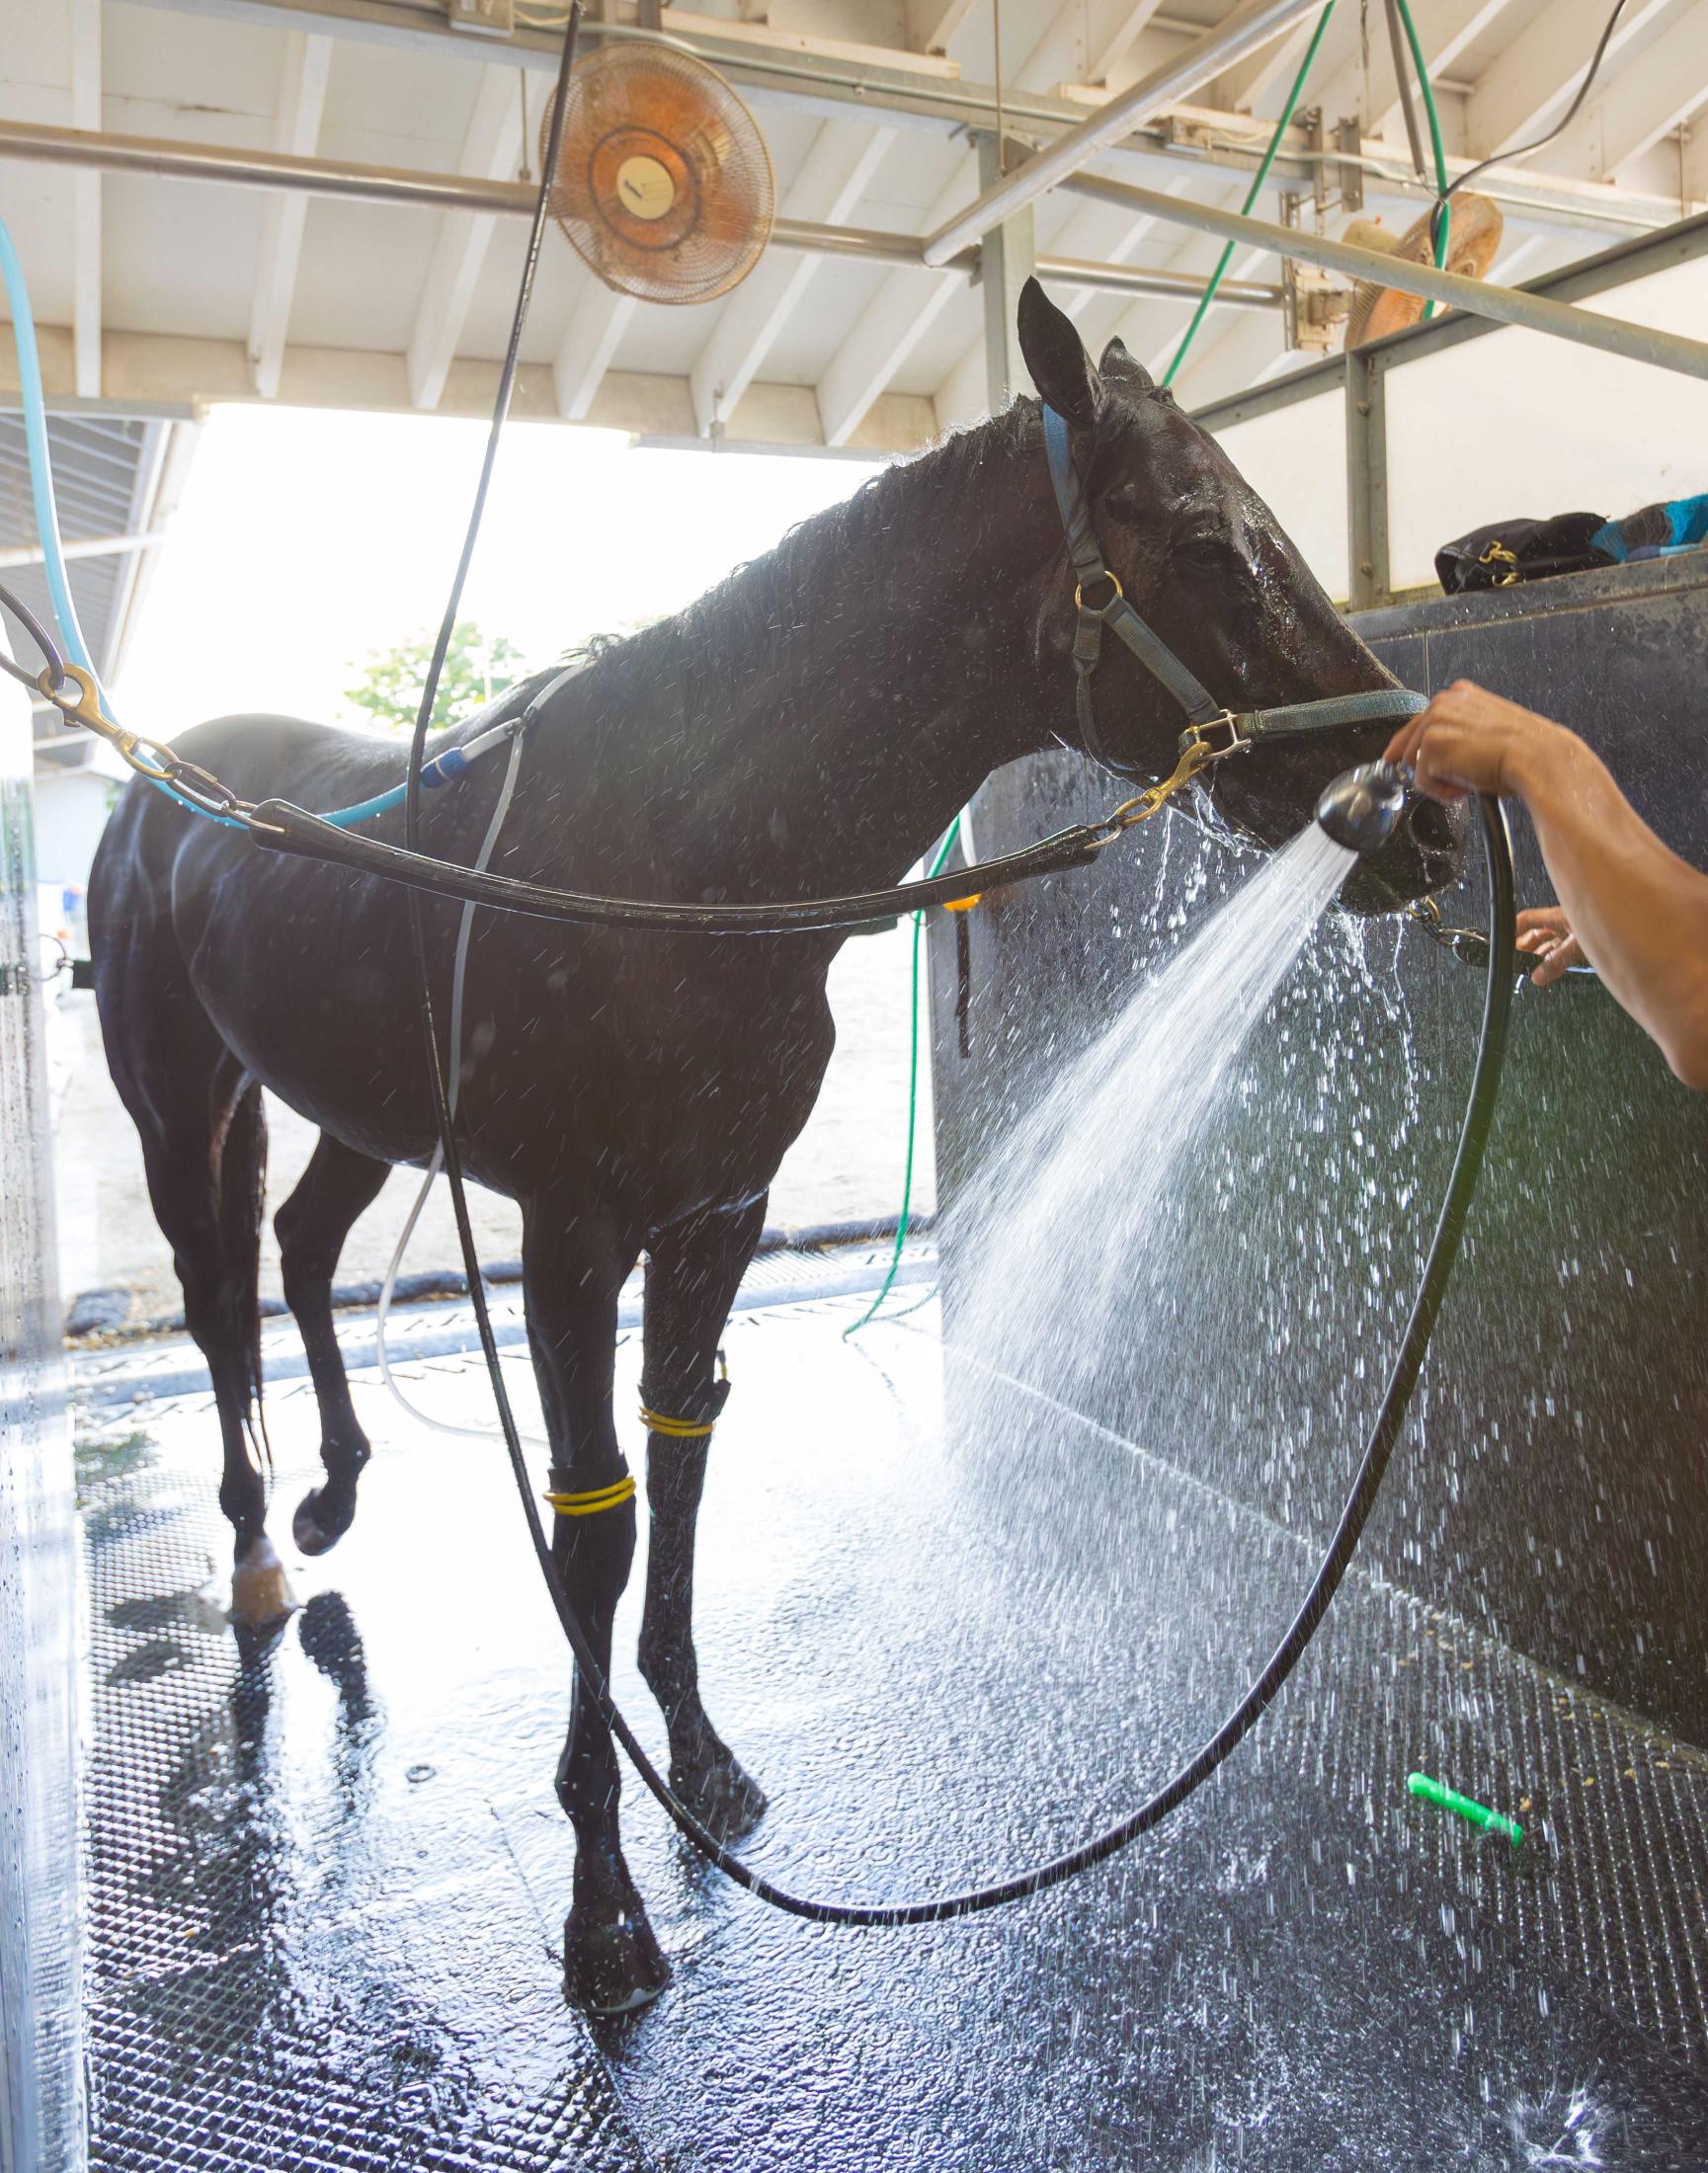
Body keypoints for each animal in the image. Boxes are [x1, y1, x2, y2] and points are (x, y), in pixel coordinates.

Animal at [89, 288, 1451, 2016]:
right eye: (1207, 538)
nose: (1424, 815)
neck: (685, 861)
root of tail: (160, 783)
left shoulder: (717, 1216)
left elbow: (680, 1472)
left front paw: (702, 1763)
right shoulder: (573, 1236)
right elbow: (594, 1529)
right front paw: (606, 1910)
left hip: (356, 1109)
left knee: (306, 1250)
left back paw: (333, 1492)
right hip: (179, 1099)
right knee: (216, 1296)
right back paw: (263, 1543)